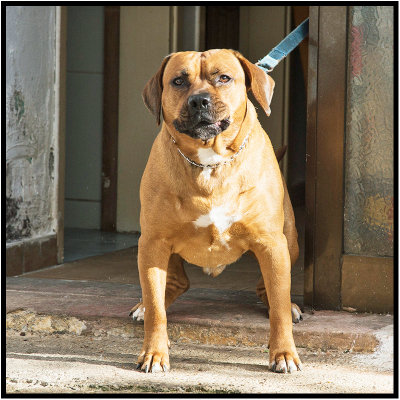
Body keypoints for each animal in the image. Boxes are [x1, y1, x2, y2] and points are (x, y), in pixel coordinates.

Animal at [133, 50, 302, 376]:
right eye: (178, 81)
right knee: (171, 286)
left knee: (270, 291)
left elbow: (278, 308)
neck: (209, 163)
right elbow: (157, 311)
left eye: (223, 78)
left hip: (289, 244)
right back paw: (144, 306)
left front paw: (284, 353)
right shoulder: (153, 244)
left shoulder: (271, 243)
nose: (199, 100)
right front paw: (154, 353)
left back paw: (288, 306)